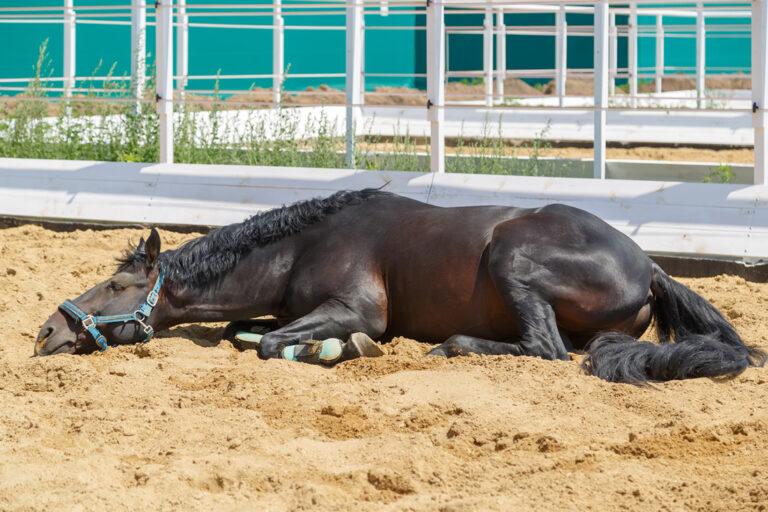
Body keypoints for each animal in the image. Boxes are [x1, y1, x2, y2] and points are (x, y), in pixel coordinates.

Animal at [35, 189, 766, 383]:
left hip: (513, 256)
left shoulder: (356, 306)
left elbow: (271, 345)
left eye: (114, 284)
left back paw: (454, 346)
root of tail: (649, 266)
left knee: (548, 350)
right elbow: (249, 333)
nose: (46, 330)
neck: (303, 245)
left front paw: (340, 351)